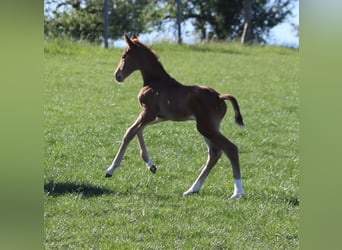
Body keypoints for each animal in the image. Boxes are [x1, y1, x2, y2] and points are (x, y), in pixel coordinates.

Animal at [105, 34, 244, 199]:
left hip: (205, 127)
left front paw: (110, 169)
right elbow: (139, 131)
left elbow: (129, 132)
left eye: (124, 55)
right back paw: (192, 189)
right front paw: (151, 165)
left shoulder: (148, 112)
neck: (155, 81)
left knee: (231, 149)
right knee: (214, 153)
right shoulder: (157, 116)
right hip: (210, 127)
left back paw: (237, 192)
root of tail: (220, 97)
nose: (117, 75)